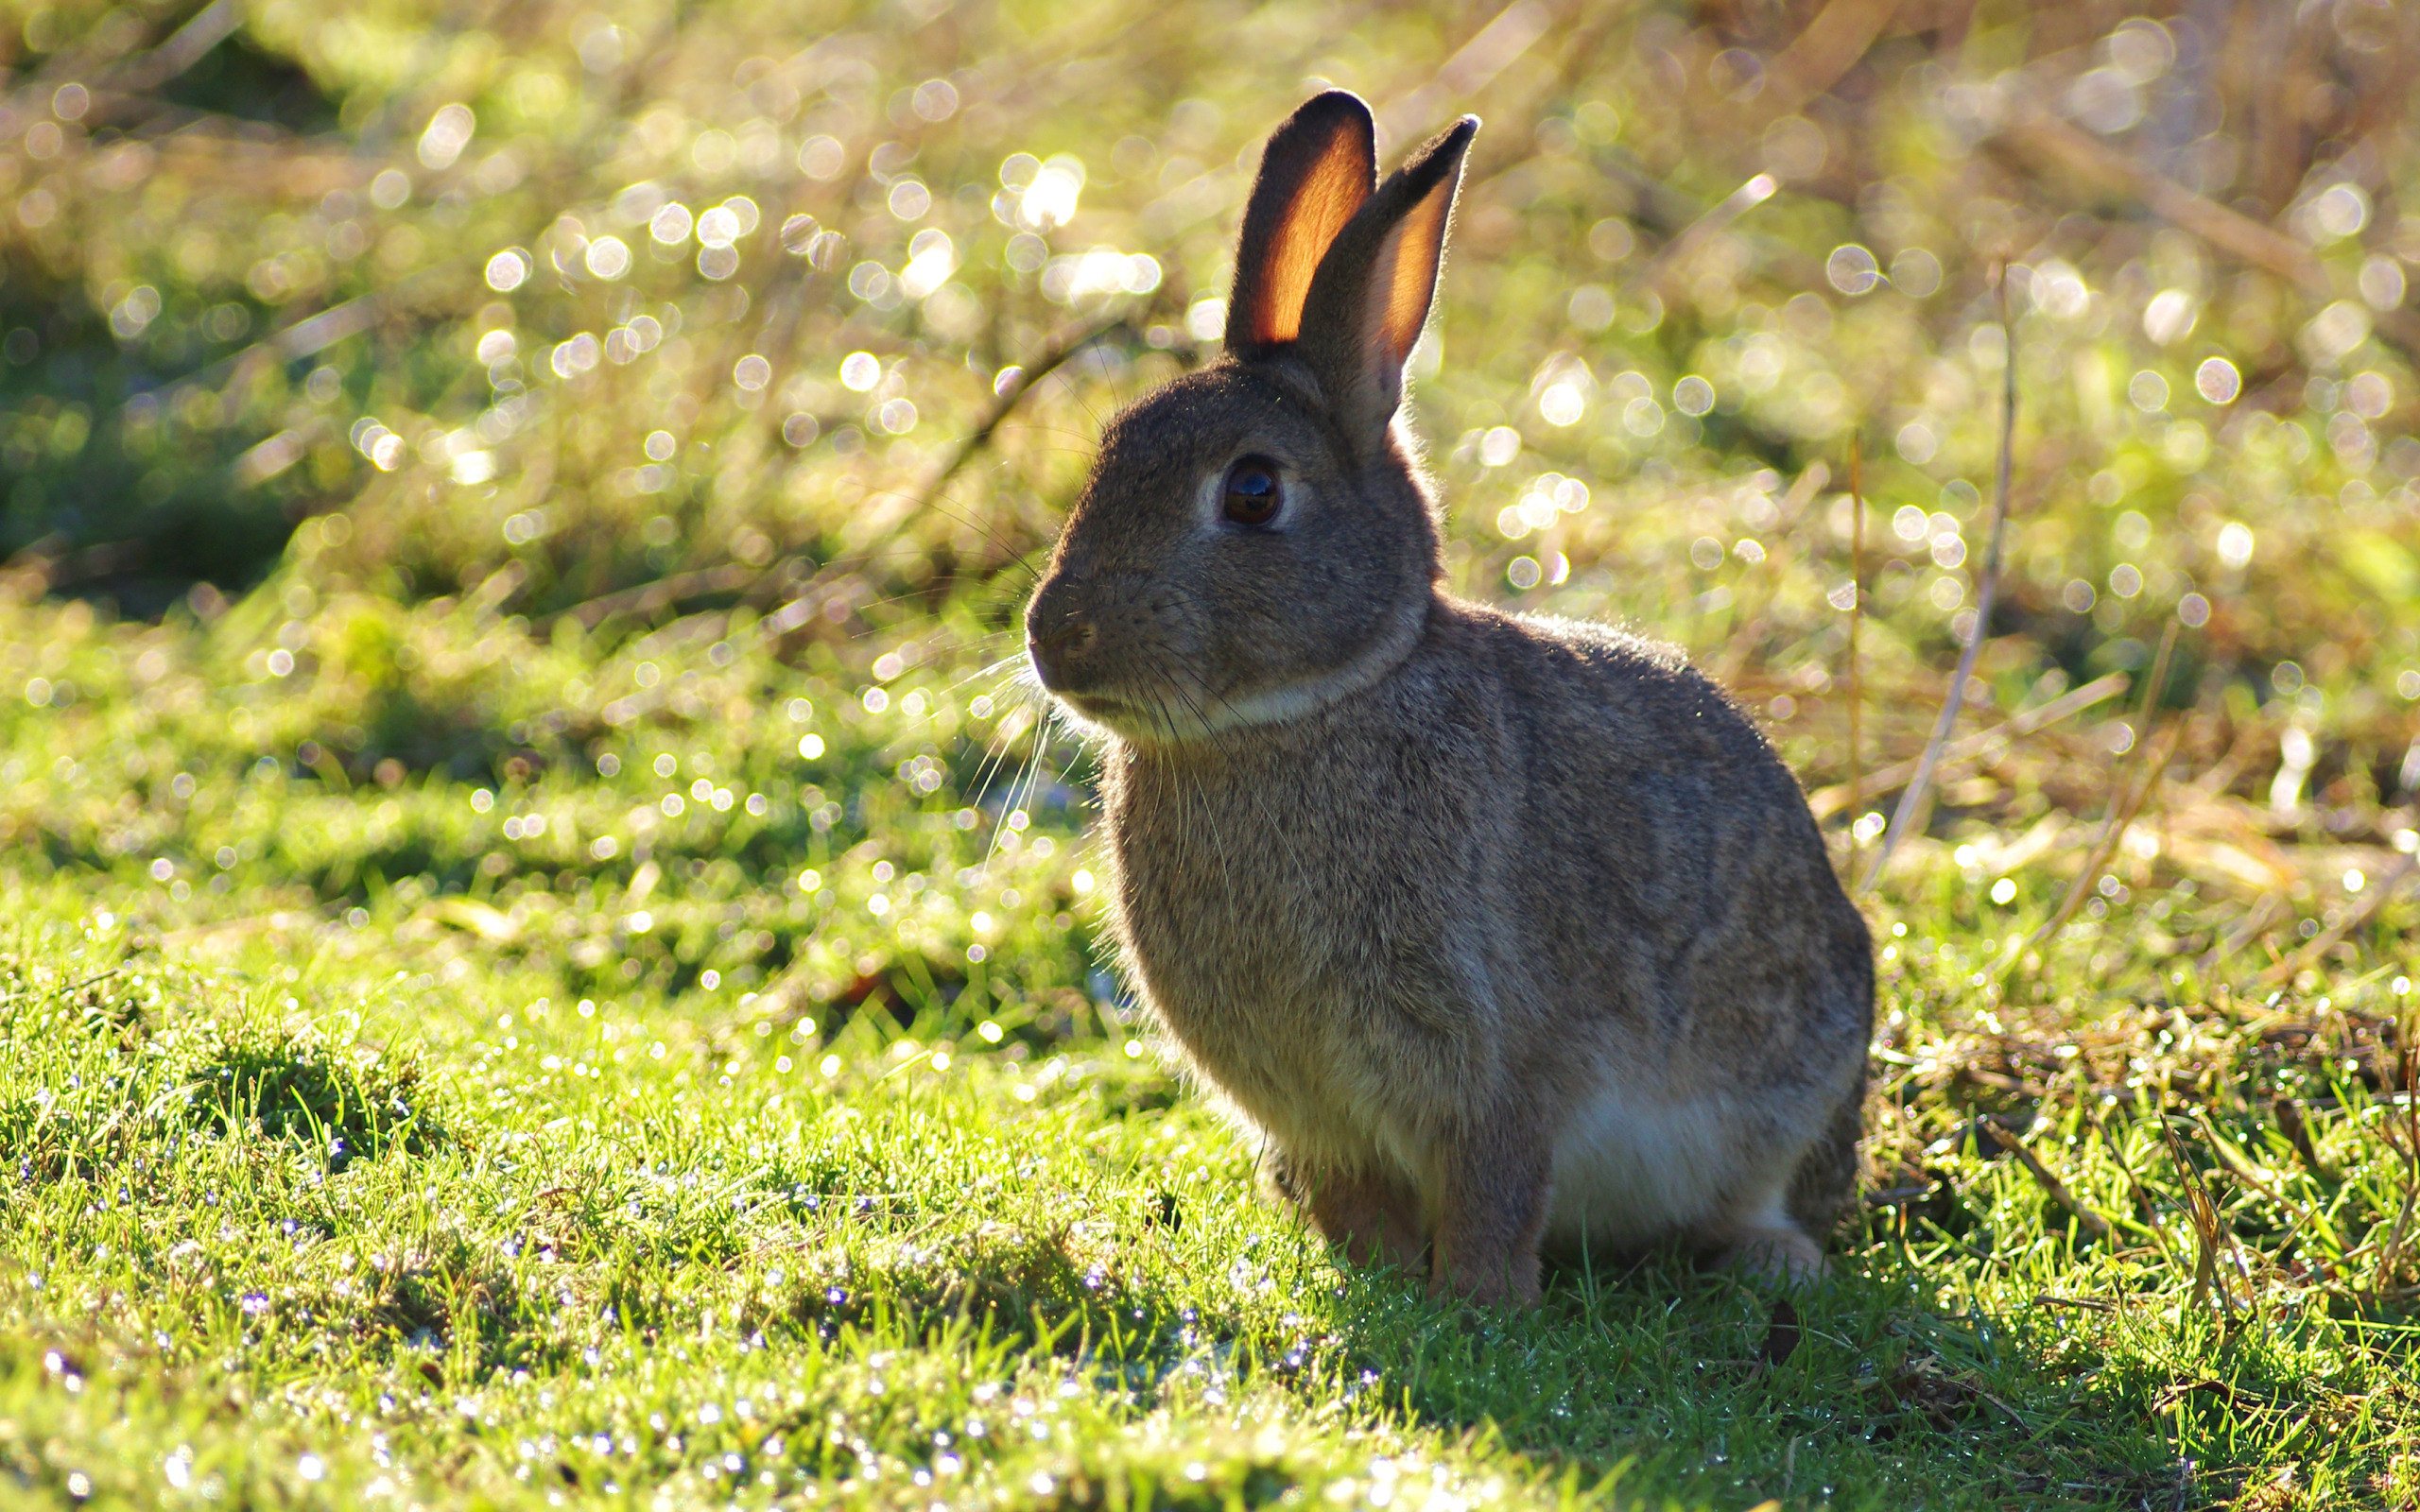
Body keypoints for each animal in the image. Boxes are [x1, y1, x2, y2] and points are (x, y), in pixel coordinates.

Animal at [1021, 88, 1868, 1306]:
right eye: (1108, 450)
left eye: (1253, 490)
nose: (1055, 639)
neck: (1308, 711)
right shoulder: (1316, 1112)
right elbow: (1357, 1204)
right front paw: (1388, 1286)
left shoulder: (1502, 1061)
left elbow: (1494, 1185)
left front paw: (1478, 1305)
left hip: (1796, 1073)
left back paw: (1771, 1261)